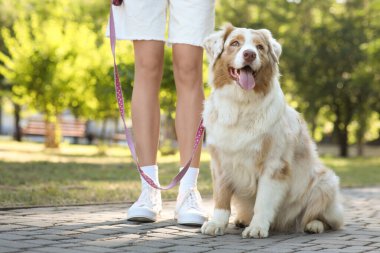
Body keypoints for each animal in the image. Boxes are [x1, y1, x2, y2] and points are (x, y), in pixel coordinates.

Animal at [200, 24, 342, 238]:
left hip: (326, 183)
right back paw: (242, 220)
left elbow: (263, 201)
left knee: (323, 218)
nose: (249, 54)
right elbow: (221, 199)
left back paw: (313, 225)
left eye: (259, 47)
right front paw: (216, 223)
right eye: (235, 43)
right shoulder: (221, 163)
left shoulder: (274, 165)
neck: (241, 105)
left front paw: (257, 227)